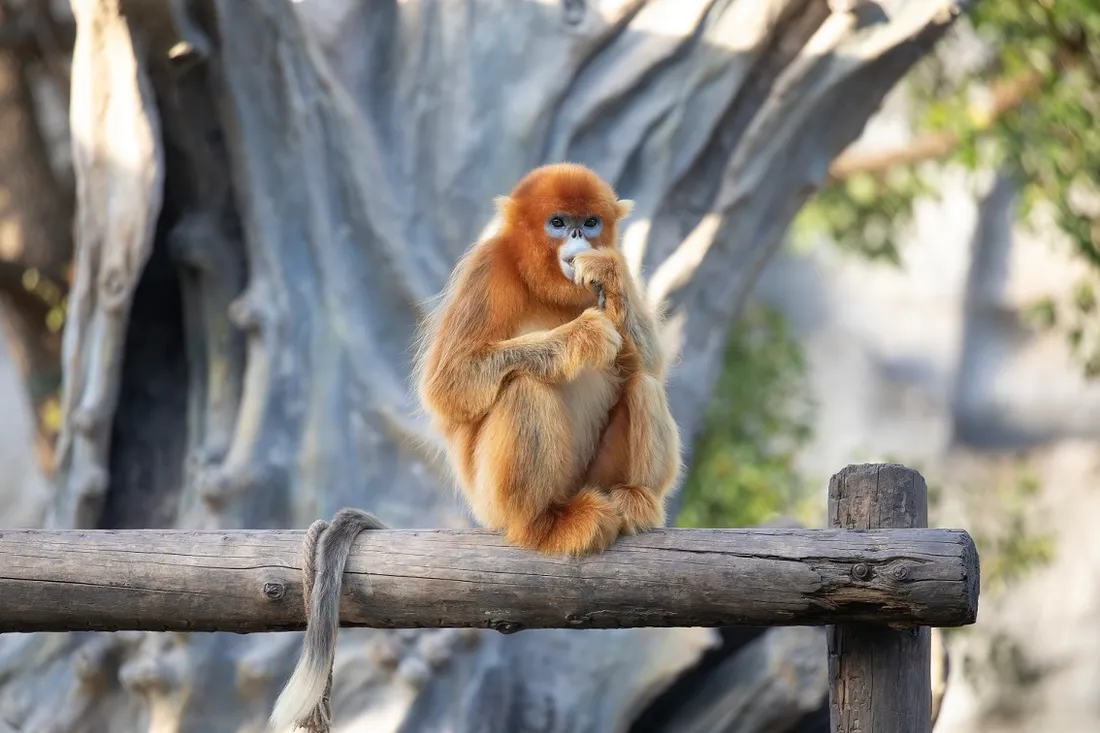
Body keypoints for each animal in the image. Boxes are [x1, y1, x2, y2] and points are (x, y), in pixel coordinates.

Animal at [413, 162, 682, 556]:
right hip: (491, 503)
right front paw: (583, 335)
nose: (576, 233)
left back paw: (634, 500)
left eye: (590, 222)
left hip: (592, 479)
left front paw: (605, 273)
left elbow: (650, 364)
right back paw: (542, 524)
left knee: (643, 384)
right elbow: (449, 385)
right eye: (558, 222)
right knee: (523, 385)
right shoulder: (487, 265)